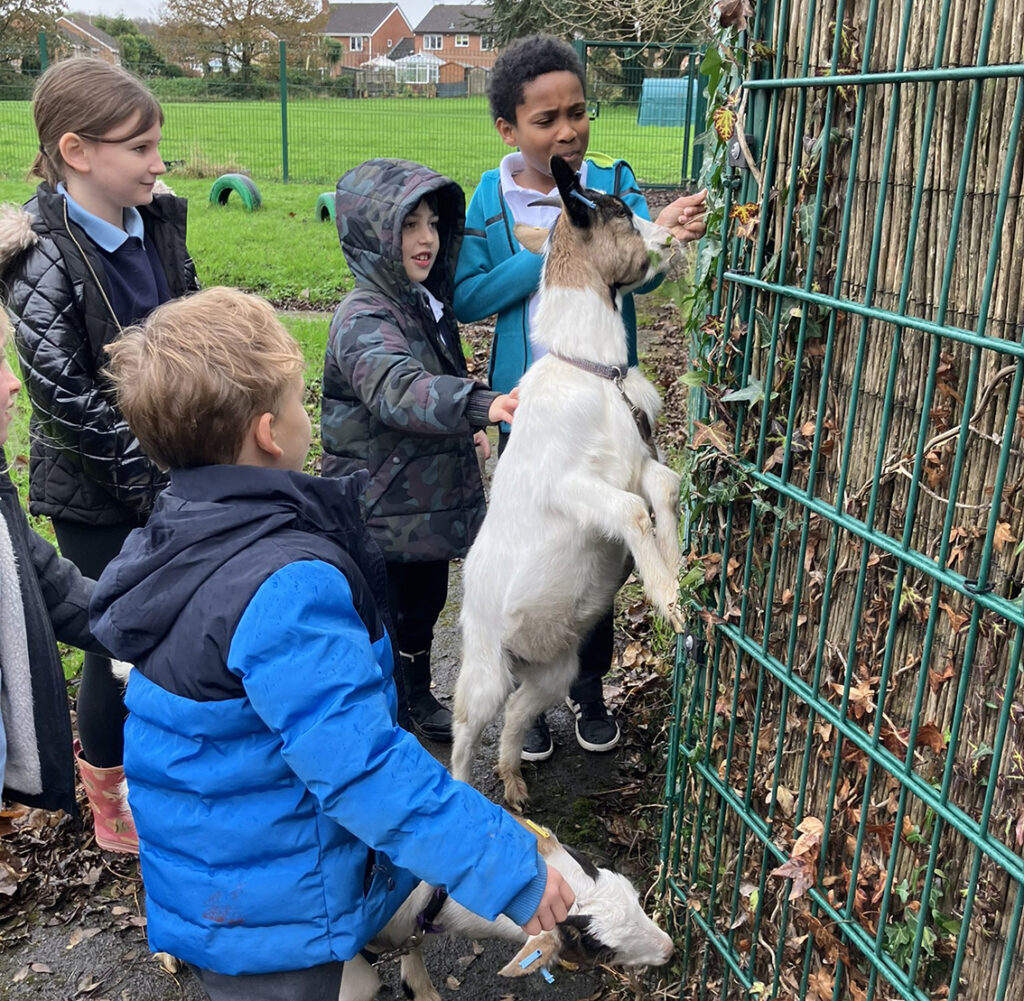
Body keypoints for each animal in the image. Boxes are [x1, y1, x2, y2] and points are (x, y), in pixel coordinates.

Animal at [452, 157, 684, 810]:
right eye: (620, 211)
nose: (670, 236)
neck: (596, 374)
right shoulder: (569, 487)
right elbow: (630, 510)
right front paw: (670, 601)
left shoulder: (638, 458)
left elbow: (665, 486)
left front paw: (678, 567)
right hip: (483, 669)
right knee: (464, 729)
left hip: (553, 671)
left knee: (514, 716)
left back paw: (513, 782)